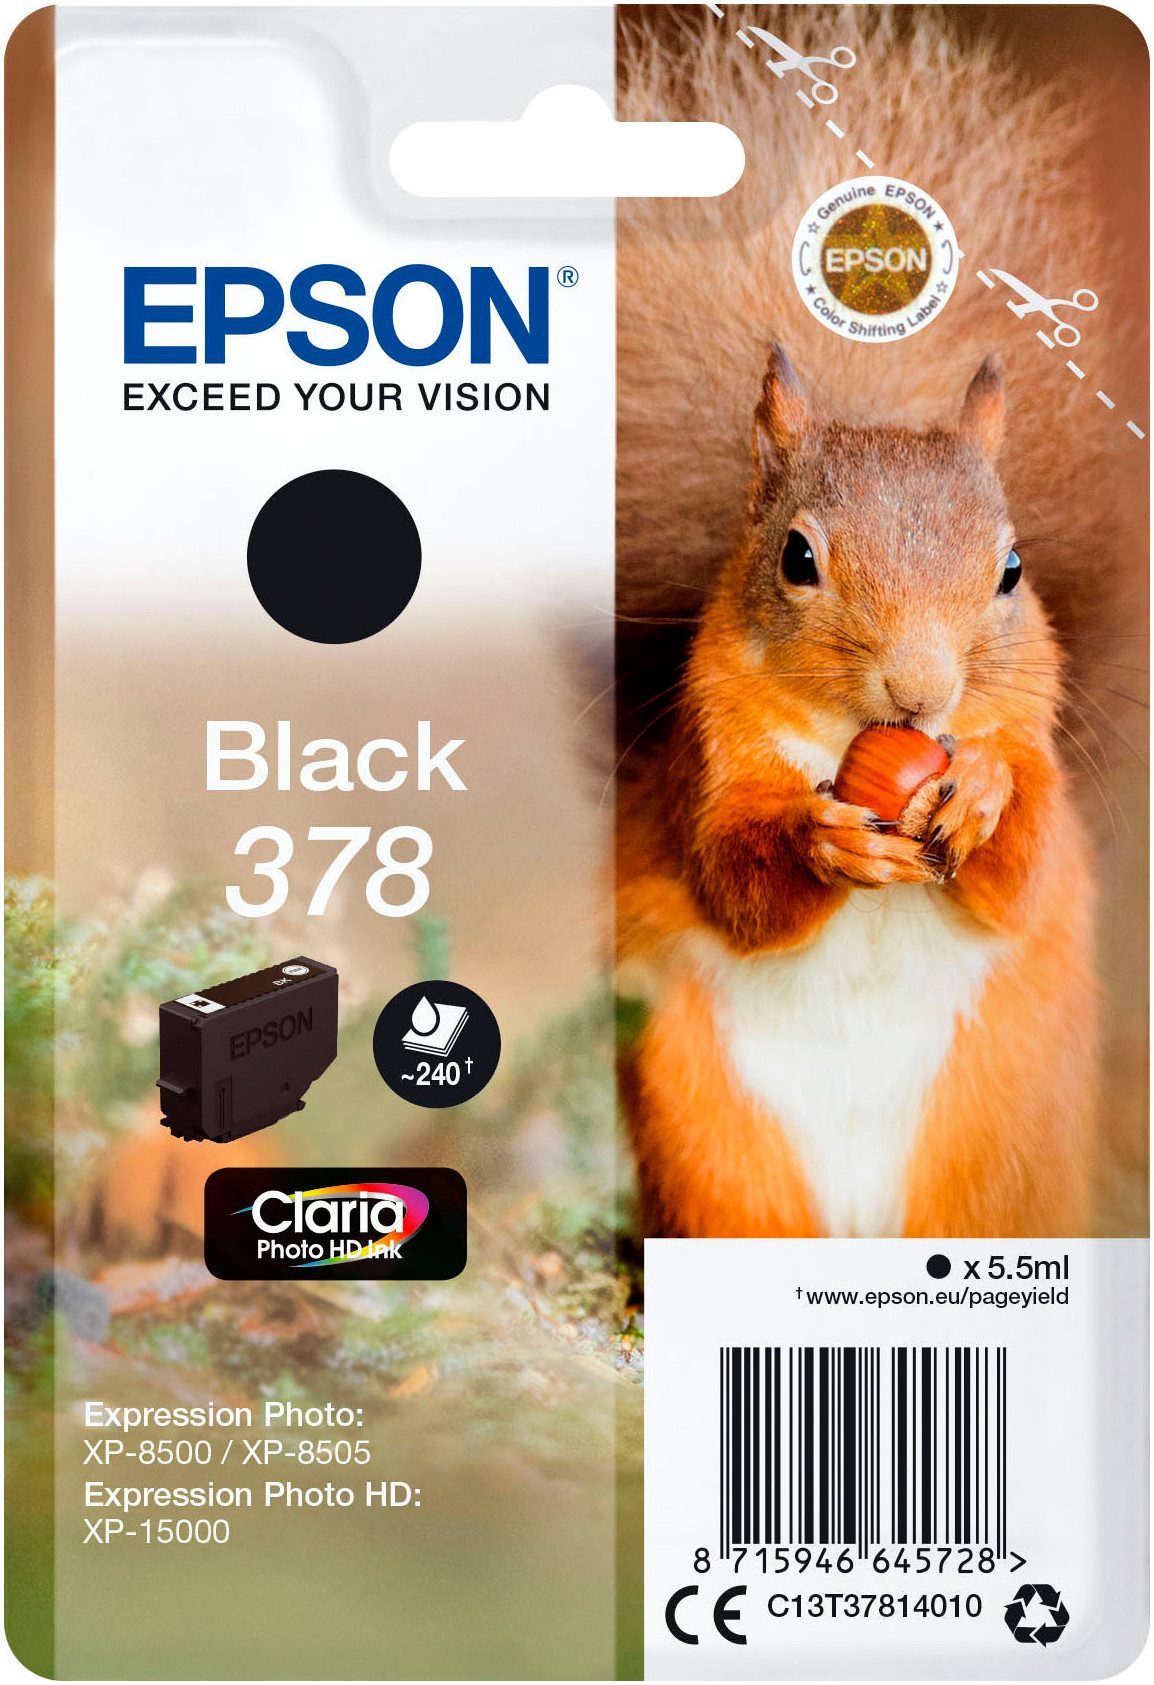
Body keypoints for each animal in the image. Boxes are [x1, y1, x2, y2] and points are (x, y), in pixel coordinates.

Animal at [612, 6, 1142, 1238]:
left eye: (1010, 569)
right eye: (796, 558)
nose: (921, 692)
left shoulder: (1034, 747)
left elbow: (1022, 865)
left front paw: (981, 793)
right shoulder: (708, 759)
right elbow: (732, 875)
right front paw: (824, 839)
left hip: (998, 1142)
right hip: (709, 1138)